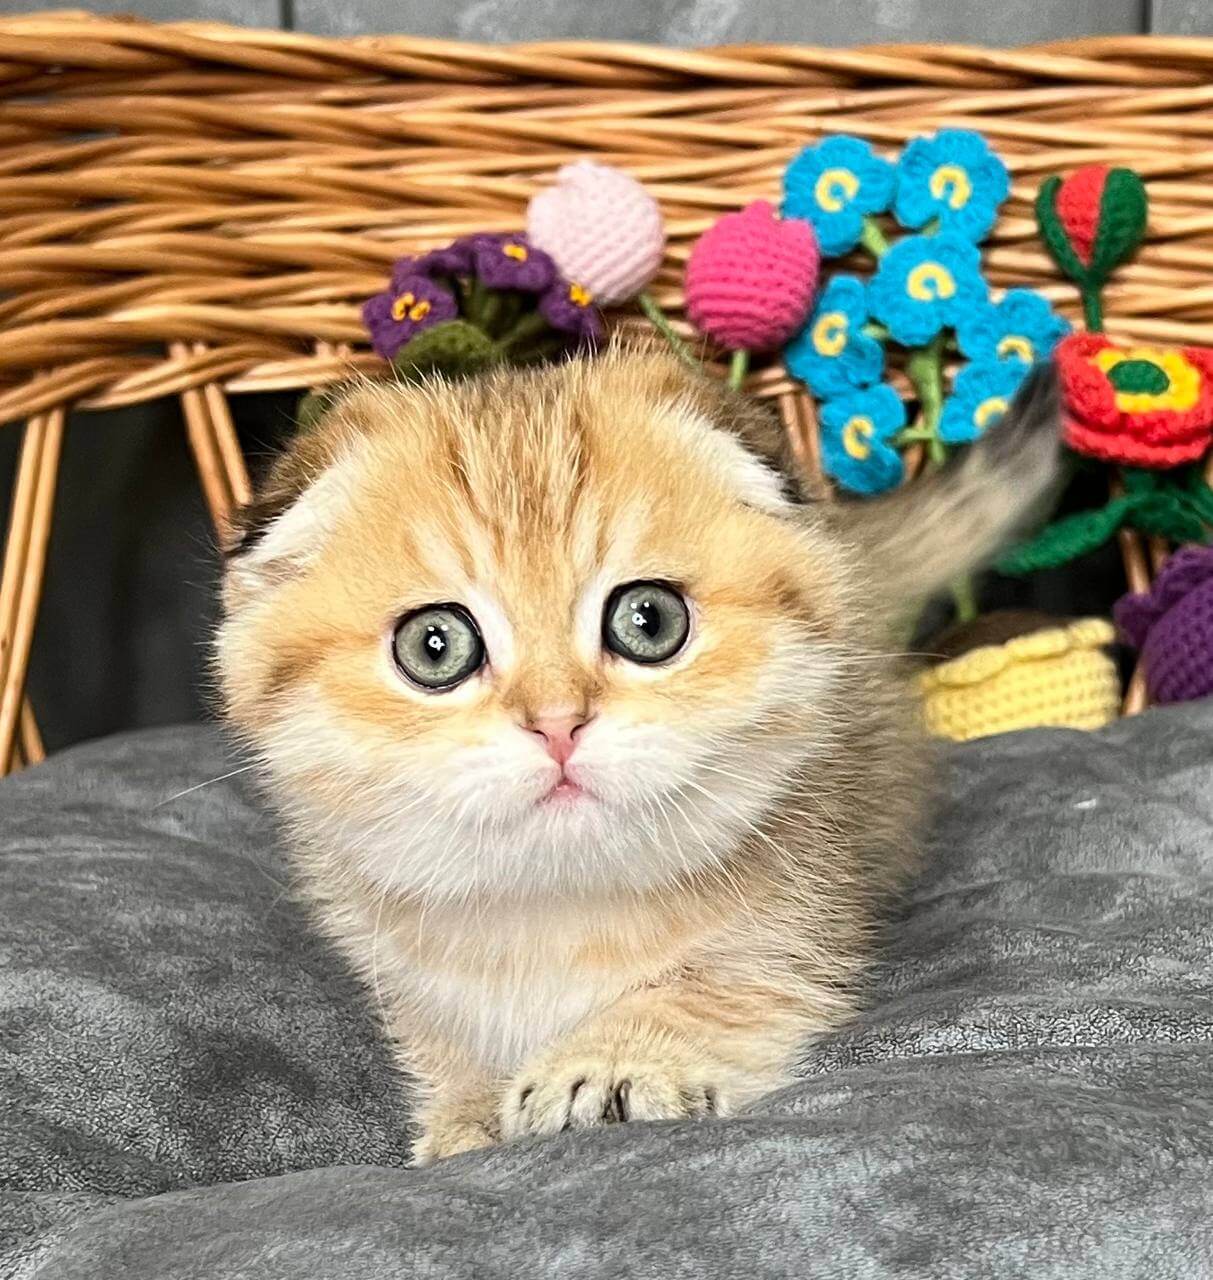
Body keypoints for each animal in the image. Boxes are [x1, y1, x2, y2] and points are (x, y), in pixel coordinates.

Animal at [216, 345, 1060, 1164]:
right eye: (434, 645)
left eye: (648, 620)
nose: (558, 725)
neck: (556, 909)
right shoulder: (401, 972)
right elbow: (445, 1040)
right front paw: (466, 1109)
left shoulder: (796, 931)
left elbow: (708, 994)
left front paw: (608, 1059)